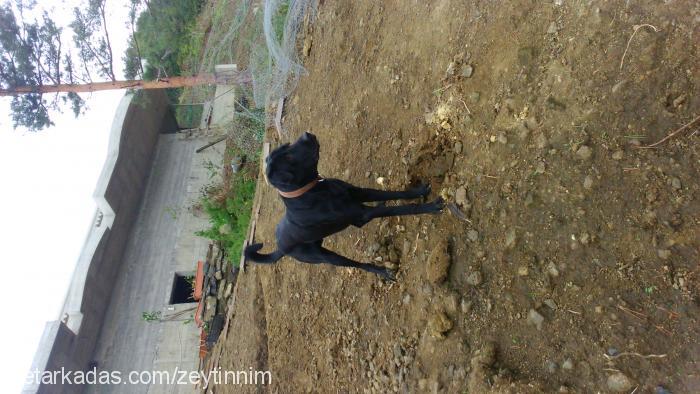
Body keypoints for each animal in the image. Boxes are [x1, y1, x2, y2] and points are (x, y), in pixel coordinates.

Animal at [243, 132, 446, 280]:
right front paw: (430, 207)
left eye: (287, 146)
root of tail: (280, 247)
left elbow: (393, 194)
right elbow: (398, 209)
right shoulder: (362, 212)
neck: (315, 190)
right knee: (357, 264)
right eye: (290, 157)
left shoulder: (359, 193)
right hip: (326, 257)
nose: (306, 134)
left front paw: (418, 191)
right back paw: (381, 271)